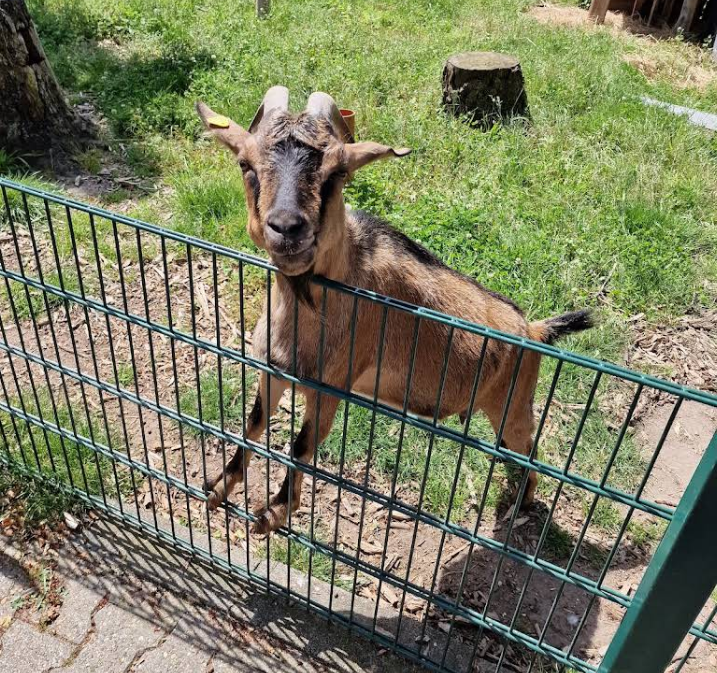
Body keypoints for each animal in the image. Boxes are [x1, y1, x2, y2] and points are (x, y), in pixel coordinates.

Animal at [196, 87, 593, 534]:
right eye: (245, 164)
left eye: (337, 173)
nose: (287, 228)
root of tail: (533, 331)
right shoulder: (272, 370)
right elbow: (253, 423)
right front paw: (217, 486)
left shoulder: (330, 387)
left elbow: (300, 445)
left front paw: (274, 511)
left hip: (513, 402)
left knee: (531, 450)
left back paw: (519, 508)